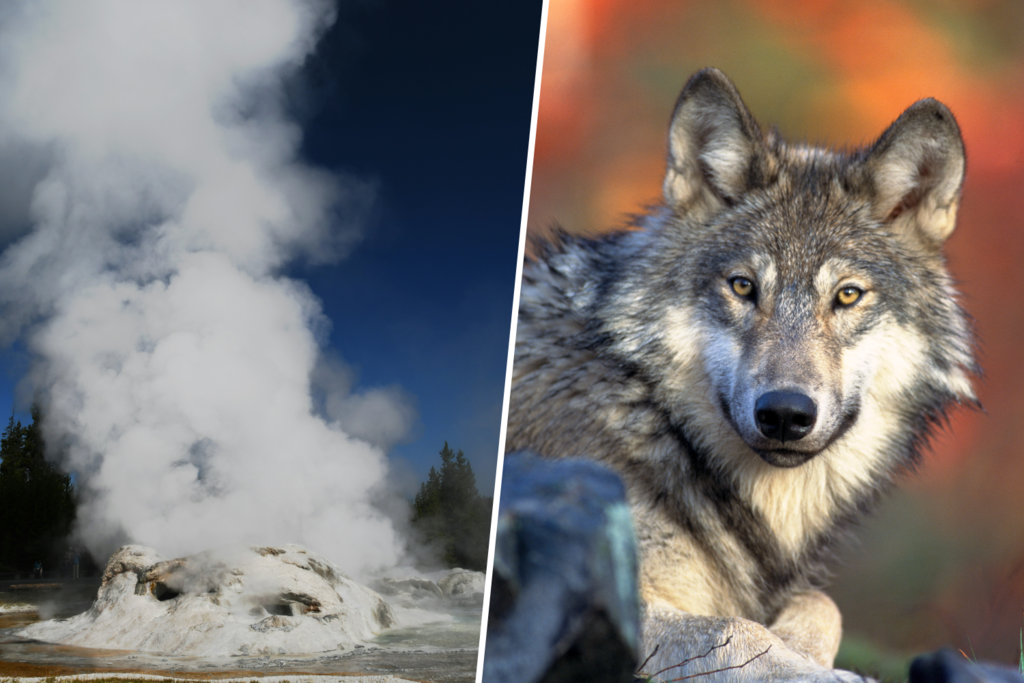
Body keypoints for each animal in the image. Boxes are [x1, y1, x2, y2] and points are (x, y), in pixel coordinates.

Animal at [505, 68, 976, 681]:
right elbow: (735, 630)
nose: (785, 414)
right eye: (743, 286)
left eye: (848, 295)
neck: (652, 417)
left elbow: (821, 604)